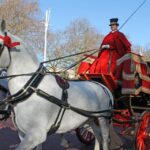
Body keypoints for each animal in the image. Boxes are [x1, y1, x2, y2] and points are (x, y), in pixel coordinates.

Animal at [0, 19, 113, 149]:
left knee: (104, 138)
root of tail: (101, 85)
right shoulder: (24, 134)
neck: (31, 89)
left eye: (0, 45)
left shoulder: (35, 136)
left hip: (102, 118)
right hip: (88, 119)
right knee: (97, 136)